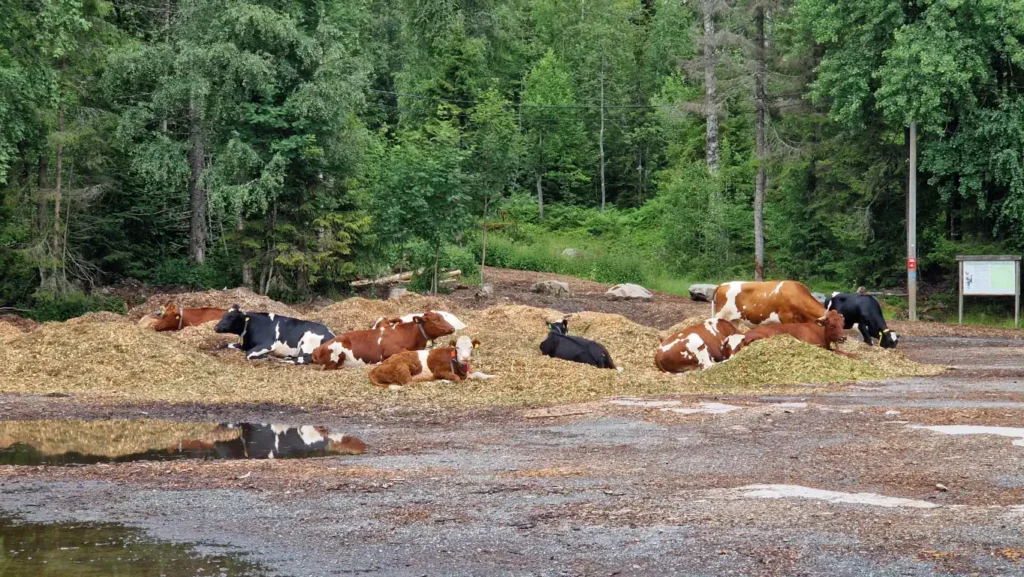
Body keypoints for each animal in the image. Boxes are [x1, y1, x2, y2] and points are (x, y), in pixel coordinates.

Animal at [311, 311, 456, 371]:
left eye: (442, 317)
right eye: (435, 319)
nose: (452, 328)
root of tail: (316, 349)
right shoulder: (389, 350)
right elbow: (403, 353)